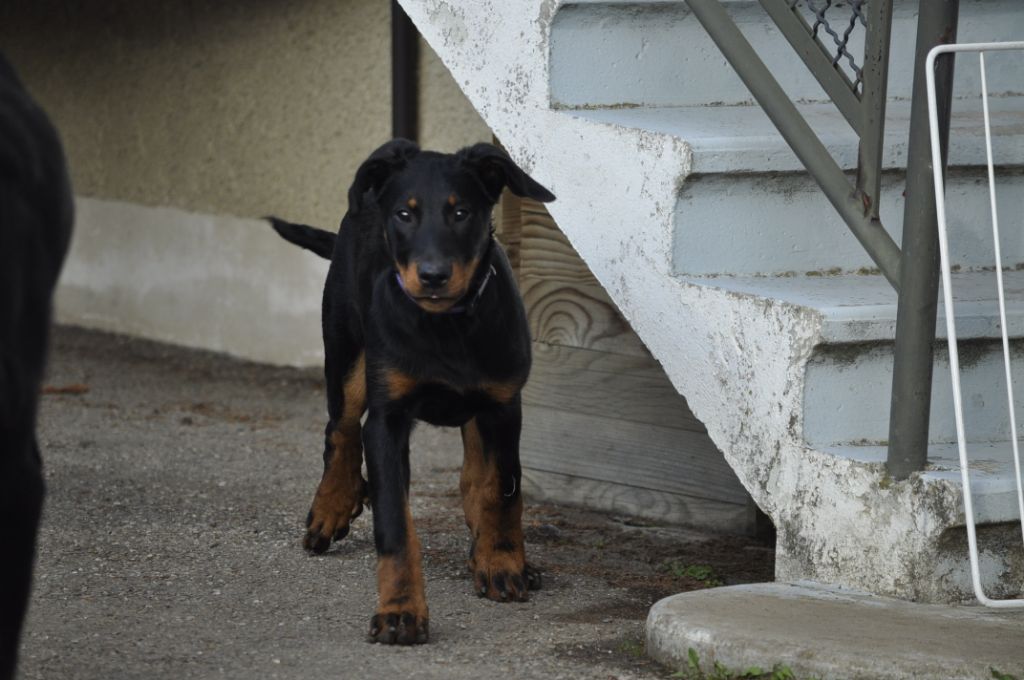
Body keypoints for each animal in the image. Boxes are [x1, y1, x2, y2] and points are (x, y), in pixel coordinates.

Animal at [268, 138, 557, 643]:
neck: (446, 325)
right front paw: (400, 611)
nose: (434, 275)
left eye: (461, 213)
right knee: (341, 428)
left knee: (473, 476)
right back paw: (332, 506)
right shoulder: (389, 419)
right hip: (347, 353)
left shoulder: (503, 406)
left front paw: (502, 562)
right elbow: (395, 524)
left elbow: (501, 489)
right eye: (404, 214)